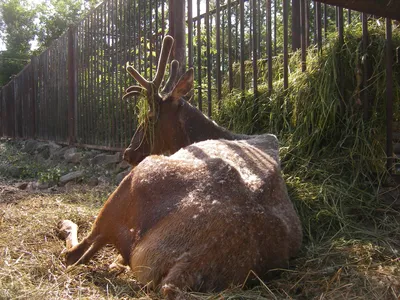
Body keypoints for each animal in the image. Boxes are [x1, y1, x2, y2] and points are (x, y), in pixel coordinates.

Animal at [59, 35, 302, 298]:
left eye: (150, 117)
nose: (129, 152)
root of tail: (185, 267)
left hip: (137, 178)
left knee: (74, 253)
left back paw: (66, 225)